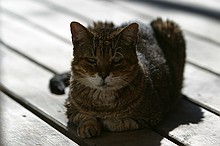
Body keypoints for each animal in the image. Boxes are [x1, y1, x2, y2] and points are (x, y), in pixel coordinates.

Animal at [49, 18, 186, 138]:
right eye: (92, 60)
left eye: (116, 60)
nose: (103, 75)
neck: (103, 104)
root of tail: (147, 22)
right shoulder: (70, 108)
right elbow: (85, 116)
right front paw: (88, 126)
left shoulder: (152, 114)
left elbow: (117, 122)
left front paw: (105, 121)